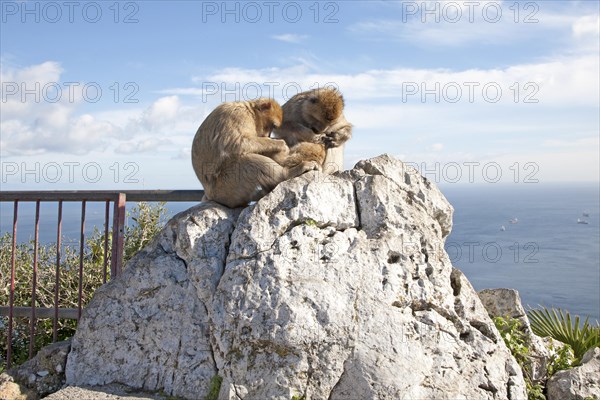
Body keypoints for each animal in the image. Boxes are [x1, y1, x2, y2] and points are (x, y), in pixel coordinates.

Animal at [193, 98, 324, 208]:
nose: (267, 135)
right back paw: (287, 174)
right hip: (226, 188)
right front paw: (281, 144)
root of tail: (210, 195)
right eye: (272, 125)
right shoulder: (237, 115)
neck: (250, 112)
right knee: (247, 161)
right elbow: (236, 143)